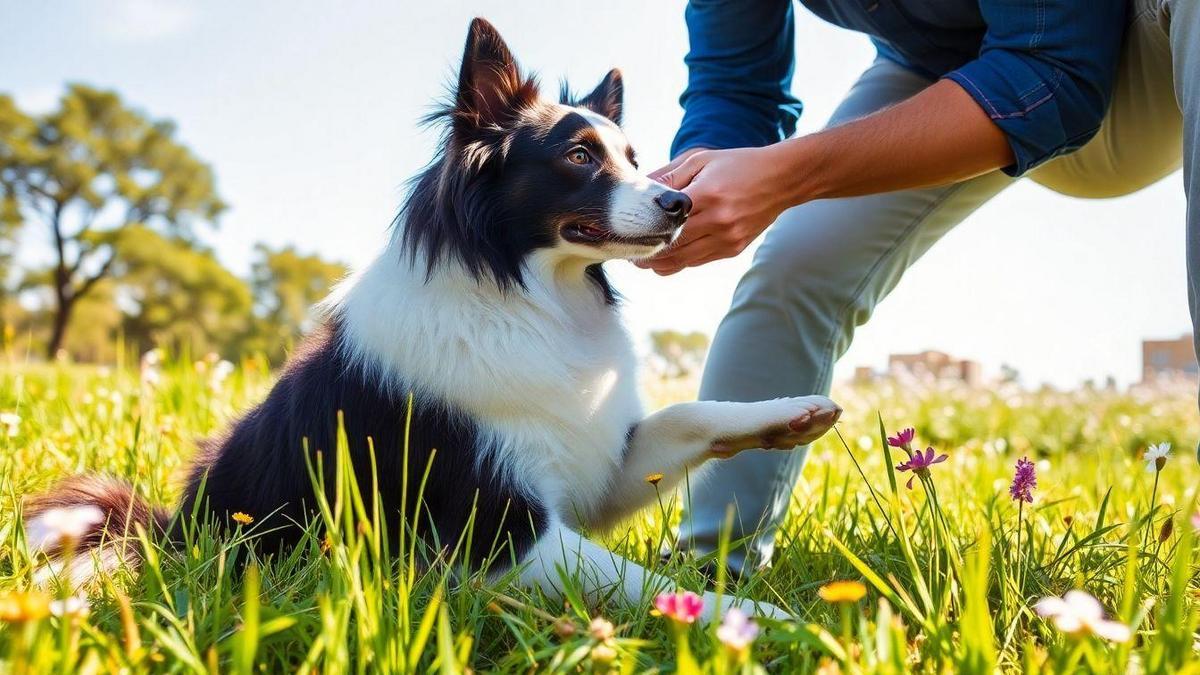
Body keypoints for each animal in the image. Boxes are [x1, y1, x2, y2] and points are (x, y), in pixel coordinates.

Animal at [25, 18, 835, 619]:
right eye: (579, 155)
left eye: (637, 160)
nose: (682, 203)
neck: (526, 296)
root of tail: (171, 533)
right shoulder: (500, 535)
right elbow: (659, 586)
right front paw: (768, 623)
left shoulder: (590, 470)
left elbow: (685, 414)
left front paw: (789, 414)